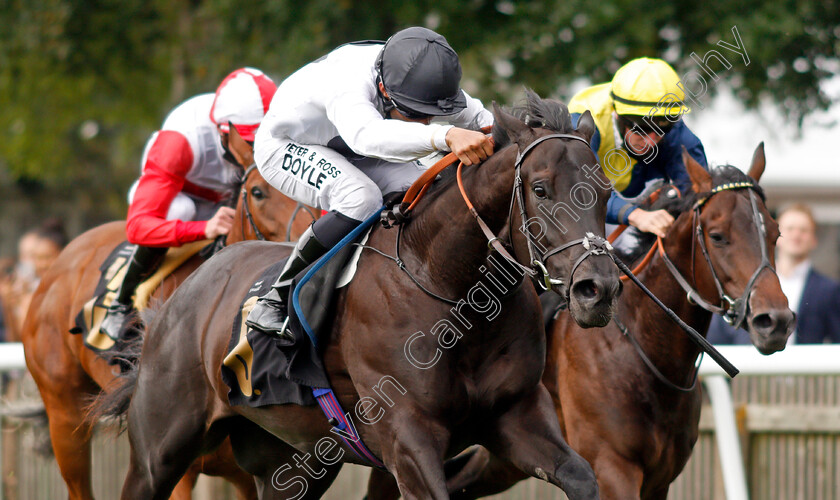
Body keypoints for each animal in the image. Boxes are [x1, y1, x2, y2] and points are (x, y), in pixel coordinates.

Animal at [100, 94, 624, 500]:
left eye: (602, 192)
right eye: (540, 188)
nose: (598, 290)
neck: (450, 290)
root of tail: (176, 301)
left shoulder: (517, 415)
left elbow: (582, 477)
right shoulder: (408, 439)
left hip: (292, 460)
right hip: (161, 452)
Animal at [412, 143, 796, 498]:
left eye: (776, 233)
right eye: (717, 236)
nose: (775, 321)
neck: (648, 352)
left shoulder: (661, 478)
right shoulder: (612, 467)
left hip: (503, 456)